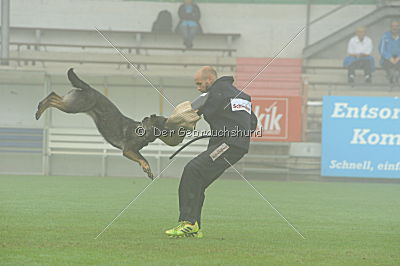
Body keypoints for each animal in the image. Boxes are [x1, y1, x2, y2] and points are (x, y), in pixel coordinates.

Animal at [34, 69, 166, 180]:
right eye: (164, 121)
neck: (143, 130)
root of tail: (89, 89)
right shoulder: (128, 150)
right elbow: (143, 159)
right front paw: (146, 168)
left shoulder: (134, 151)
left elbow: (142, 159)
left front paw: (147, 170)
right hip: (73, 106)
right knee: (52, 98)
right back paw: (39, 110)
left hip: (71, 103)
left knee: (54, 95)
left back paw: (40, 107)